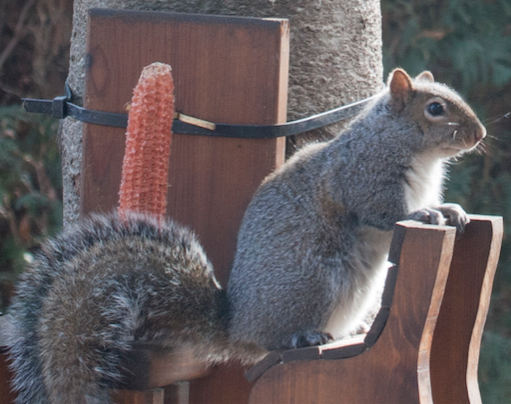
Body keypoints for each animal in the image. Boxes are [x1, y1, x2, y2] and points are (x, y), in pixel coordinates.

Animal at [7, 68, 488, 402]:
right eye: (435, 108)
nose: (480, 133)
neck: (409, 148)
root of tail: (235, 323)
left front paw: (452, 210)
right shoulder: (363, 178)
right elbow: (384, 213)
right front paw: (425, 213)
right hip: (315, 282)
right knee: (269, 342)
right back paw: (303, 337)